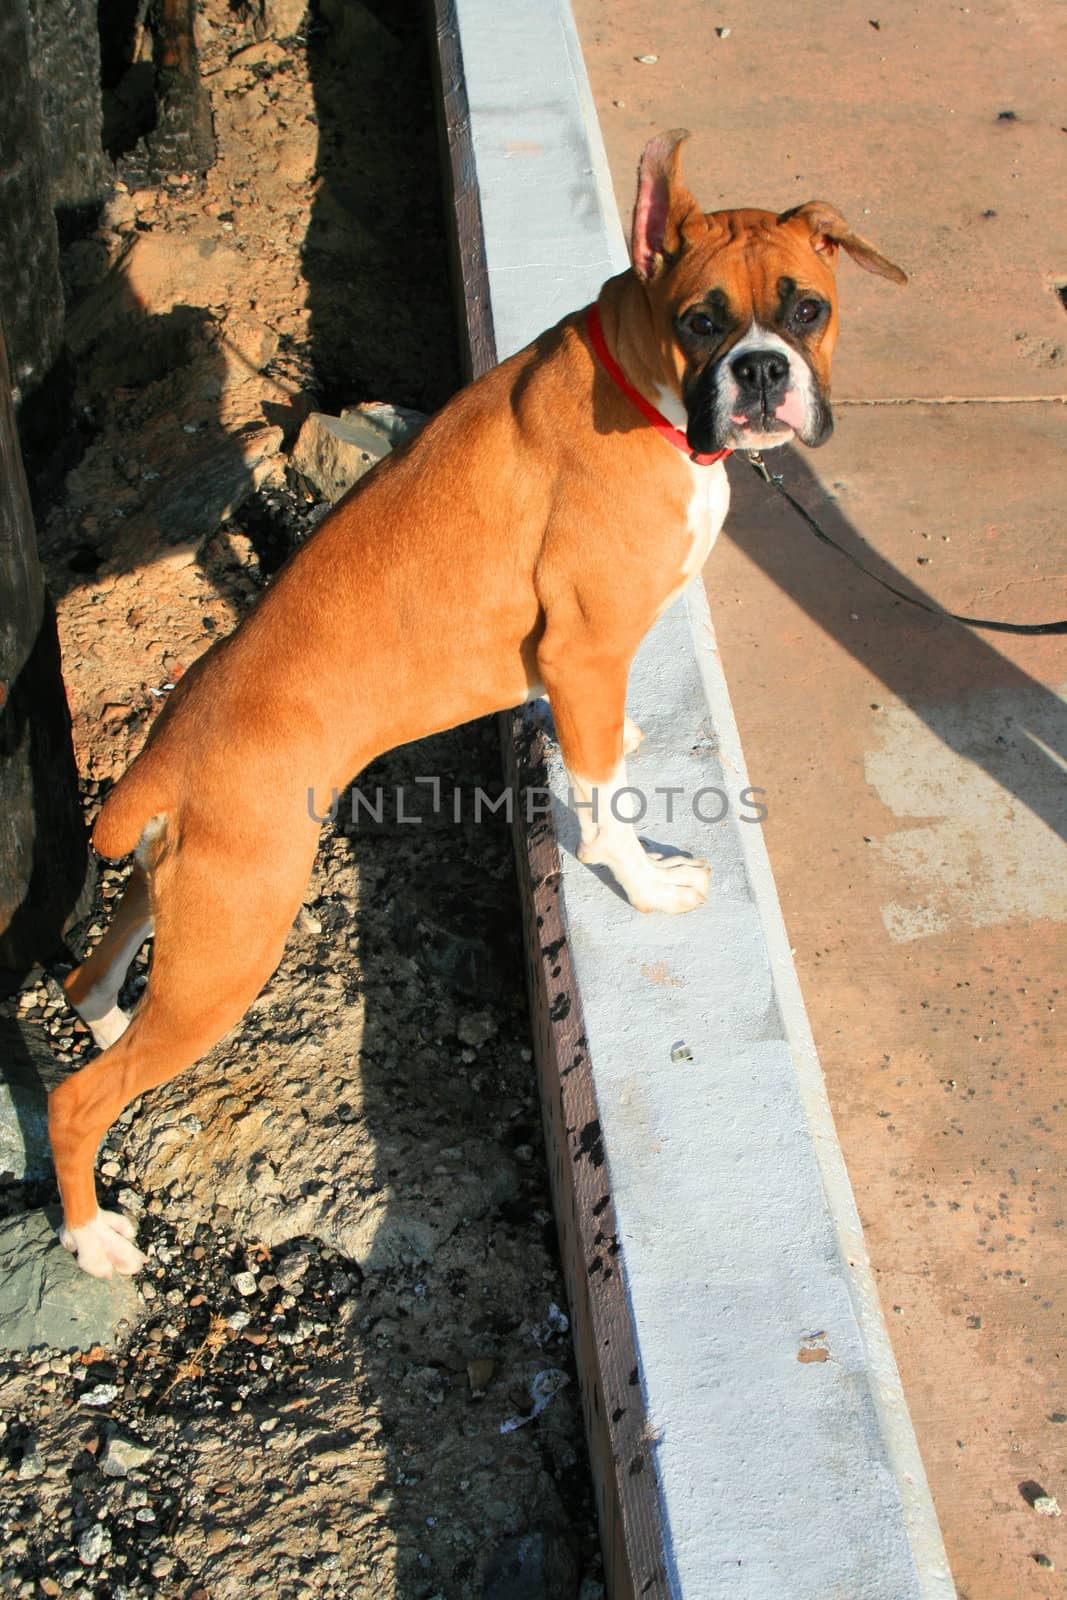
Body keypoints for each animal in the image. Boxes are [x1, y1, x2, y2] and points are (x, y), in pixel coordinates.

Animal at [47, 131, 902, 1273]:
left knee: (91, 980)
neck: (642, 383)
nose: (761, 370)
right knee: (74, 1098)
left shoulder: (575, 666)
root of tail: (165, 752)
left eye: (805, 307)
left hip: (182, 902)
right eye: (701, 320)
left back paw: (101, 1025)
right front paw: (645, 885)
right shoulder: (584, 646)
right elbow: (604, 803)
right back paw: (92, 1236)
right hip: (233, 949)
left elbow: (592, 751)